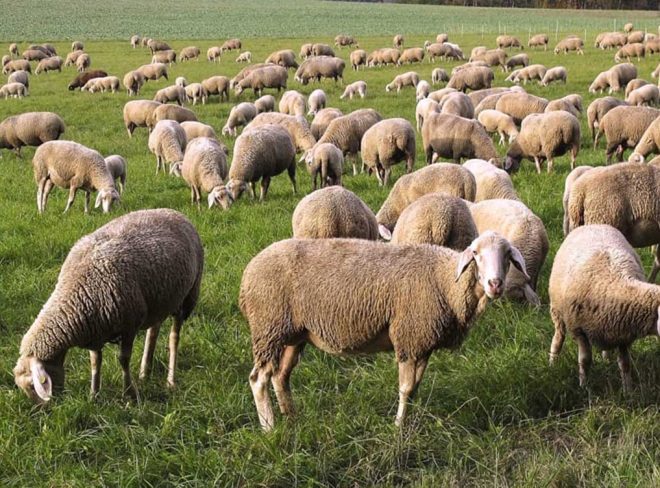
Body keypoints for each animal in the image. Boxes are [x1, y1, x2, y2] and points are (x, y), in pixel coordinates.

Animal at [14, 208, 203, 403]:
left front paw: (129, 394)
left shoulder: (129, 326)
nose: (45, 409)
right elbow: (95, 363)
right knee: (153, 330)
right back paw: (144, 373)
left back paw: (170, 381)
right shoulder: (95, 332)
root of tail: (173, 211)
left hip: (188, 296)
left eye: (32, 386)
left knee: (174, 337)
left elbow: (123, 359)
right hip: (159, 299)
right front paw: (94, 395)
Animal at [240, 230, 525, 430]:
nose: (495, 284)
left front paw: (409, 422)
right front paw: (398, 427)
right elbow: (406, 388)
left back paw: (291, 418)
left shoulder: (423, 343)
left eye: (508, 255)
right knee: (259, 379)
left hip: (293, 334)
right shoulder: (409, 337)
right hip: (269, 326)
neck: (445, 280)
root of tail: (248, 273)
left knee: (280, 376)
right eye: (475, 253)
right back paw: (270, 427)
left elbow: (414, 388)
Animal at [549, 224, 660, 391]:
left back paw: (606, 359)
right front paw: (584, 388)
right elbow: (585, 361)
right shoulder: (579, 330)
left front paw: (628, 391)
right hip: (557, 310)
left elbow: (625, 364)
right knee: (558, 337)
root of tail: (593, 225)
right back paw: (552, 363)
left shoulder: (623, 335)